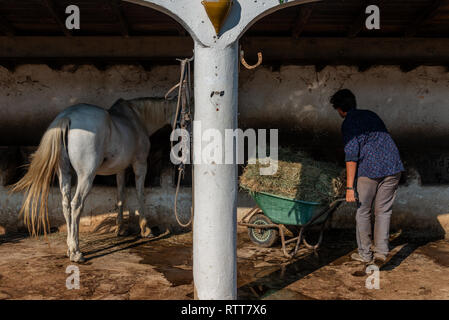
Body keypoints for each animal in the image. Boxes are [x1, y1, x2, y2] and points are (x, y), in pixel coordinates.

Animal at [12, 97, 177, 262]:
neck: (136, 118)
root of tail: (67, 116)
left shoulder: (120, 169)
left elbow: (120, 196)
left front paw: (120, 229)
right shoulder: (140, 164)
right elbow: (140, 194)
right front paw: (146, 229)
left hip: (65, 174)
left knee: (66, 204)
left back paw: (69, 248)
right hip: (86, 176)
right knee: (76, 205)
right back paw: (76, 252)